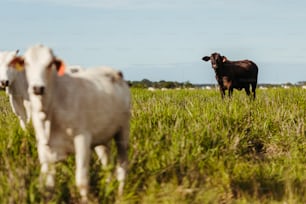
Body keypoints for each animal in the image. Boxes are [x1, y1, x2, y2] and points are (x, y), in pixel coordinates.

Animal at [10, 44, 130, 201]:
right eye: (26, 63)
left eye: (50, 64)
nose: (37, 88)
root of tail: (115, 72)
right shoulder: (44, 147)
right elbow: (48, 186)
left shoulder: (82, 139)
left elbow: (82, 181)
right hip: (102, 139)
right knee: (107, 164)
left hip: (123, 131)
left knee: (122, 166)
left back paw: (120, 195)